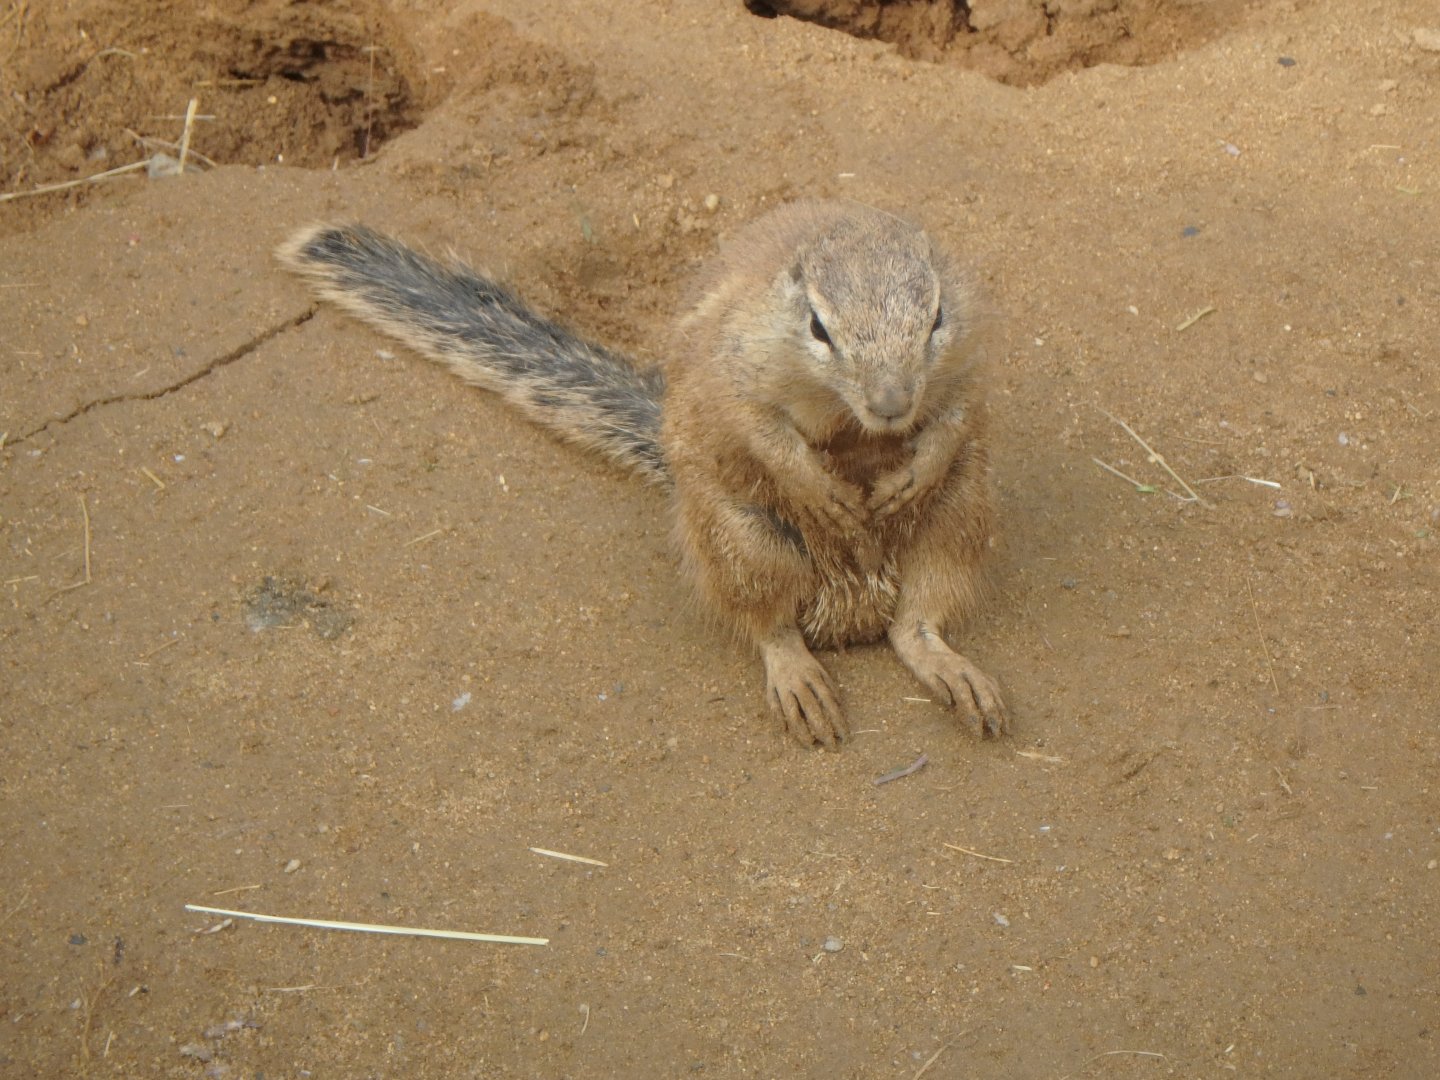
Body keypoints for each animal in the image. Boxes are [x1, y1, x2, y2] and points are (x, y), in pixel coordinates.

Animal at [278, 200, 1006, 747]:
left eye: (936, 317)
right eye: (819, 328)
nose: (892, 405)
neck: (848, 417)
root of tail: (854, 616)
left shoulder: (971, 349)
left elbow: (963, 409)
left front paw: (915, 463)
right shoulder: (732, 365)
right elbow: (758, 429)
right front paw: (819, 489)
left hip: (958, 515)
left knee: (916, 621)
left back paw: (953, 674)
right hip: (743, 537)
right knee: (768, 623)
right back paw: (801, 680)